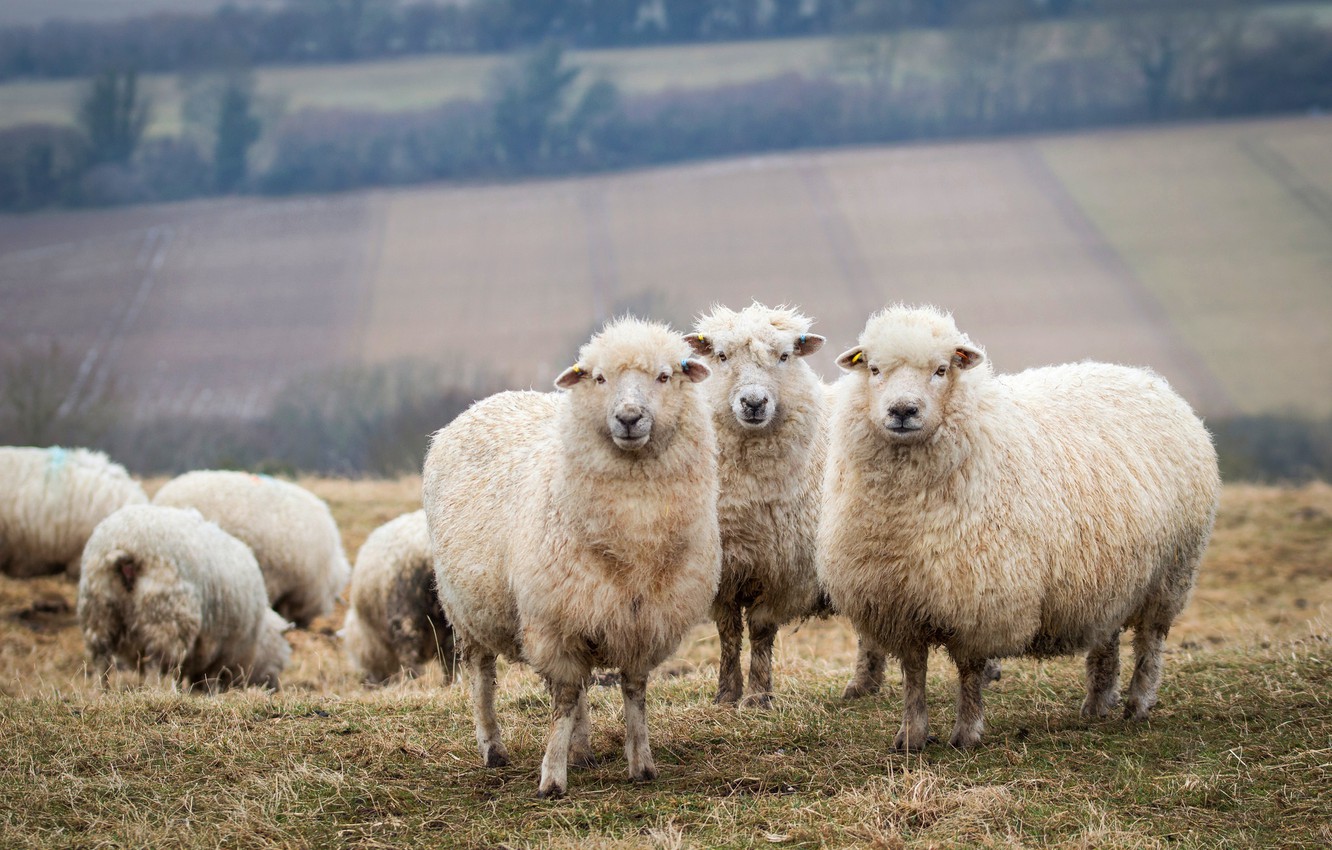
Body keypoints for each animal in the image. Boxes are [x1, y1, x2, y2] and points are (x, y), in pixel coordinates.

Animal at [77, 504, 292, 692]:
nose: (274, 687)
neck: (257, 633)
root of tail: (124, 545)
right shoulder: (221, 648)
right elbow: (209, 678)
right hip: (165, 616)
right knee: (155, 664)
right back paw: (156, 692)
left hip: (98, 611)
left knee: (101, 661)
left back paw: (102, 693)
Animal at [424, 316, 721, 799]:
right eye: (599, 378)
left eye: (664, 376)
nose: (629, 418)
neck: (635, 531)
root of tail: (487, 401)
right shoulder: (552, 623)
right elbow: (561, 701)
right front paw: (551, 778)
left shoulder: (641, 619)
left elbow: (634, 692)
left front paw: (641, 763)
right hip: (469, 610)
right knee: (482, 677)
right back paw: (493, 748)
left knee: (576, 685)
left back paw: (581, 750)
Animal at [817, 304, 1220, 751]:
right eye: (873, 369)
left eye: (941, 369)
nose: (903, 411)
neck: (906, 511)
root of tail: (1148, 380)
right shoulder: (896, 601)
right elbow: (914, 673)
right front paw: (911, 736)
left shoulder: (980, 599)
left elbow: (970, 672)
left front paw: (967, 733)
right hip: (1109, 574)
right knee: (1107, 636)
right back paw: (1098, 703)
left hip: (1171, 573)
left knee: (1150, 641)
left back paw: (1138, 704)